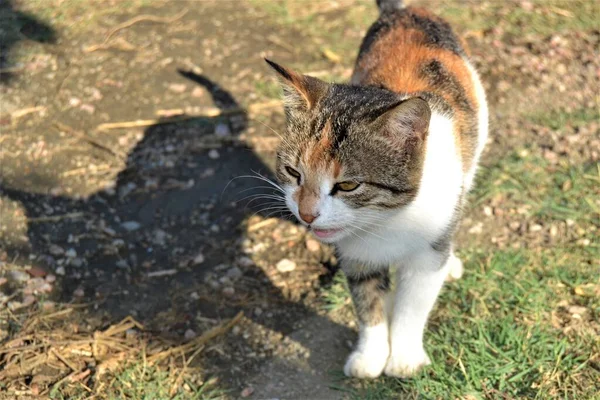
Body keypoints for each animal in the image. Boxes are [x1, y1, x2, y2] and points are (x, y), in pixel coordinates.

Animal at [266, 0, 488, 378]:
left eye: (348, 185)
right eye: (293, 172)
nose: (307, 214)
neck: (387, 220)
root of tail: (404, 10)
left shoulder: (426, 256)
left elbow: (412, 307)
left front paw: (404, 357)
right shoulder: (356, 257)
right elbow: (367, 304)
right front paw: (370, 356)